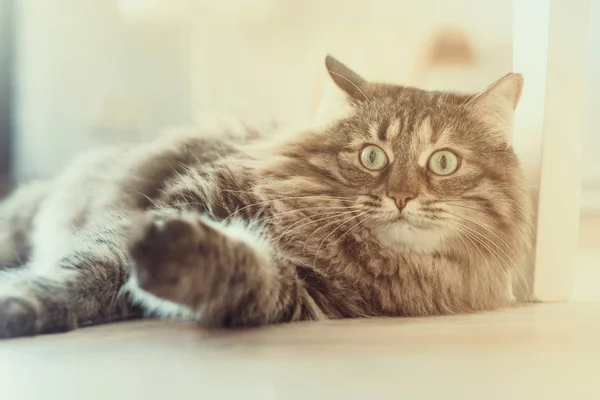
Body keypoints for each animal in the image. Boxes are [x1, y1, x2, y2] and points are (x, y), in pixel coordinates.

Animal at [0, 55, 532, 338]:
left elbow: (243, 273)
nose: (401, 196)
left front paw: (183, 257)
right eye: (372, 156)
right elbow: (81, 273)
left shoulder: (304, 292)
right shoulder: (179, 201)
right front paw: (21, 302)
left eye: (443, 163)